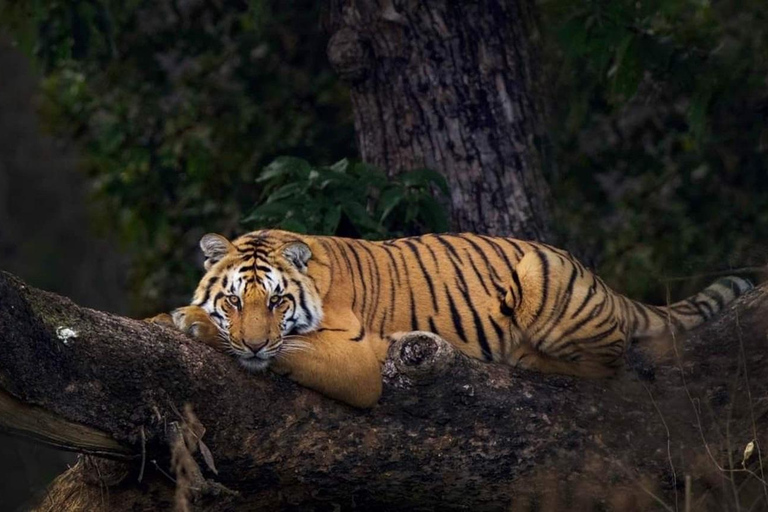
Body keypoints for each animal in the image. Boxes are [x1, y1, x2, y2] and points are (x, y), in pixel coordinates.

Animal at [148, 229, 752, 408]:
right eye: (234, 301)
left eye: (276, 303)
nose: (252, 345)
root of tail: (600, 279)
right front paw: (171, 317)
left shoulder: (358, 358)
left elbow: (292, 349)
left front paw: (195, 325)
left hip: (542, 275)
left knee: (612, 361)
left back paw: (529, 357)